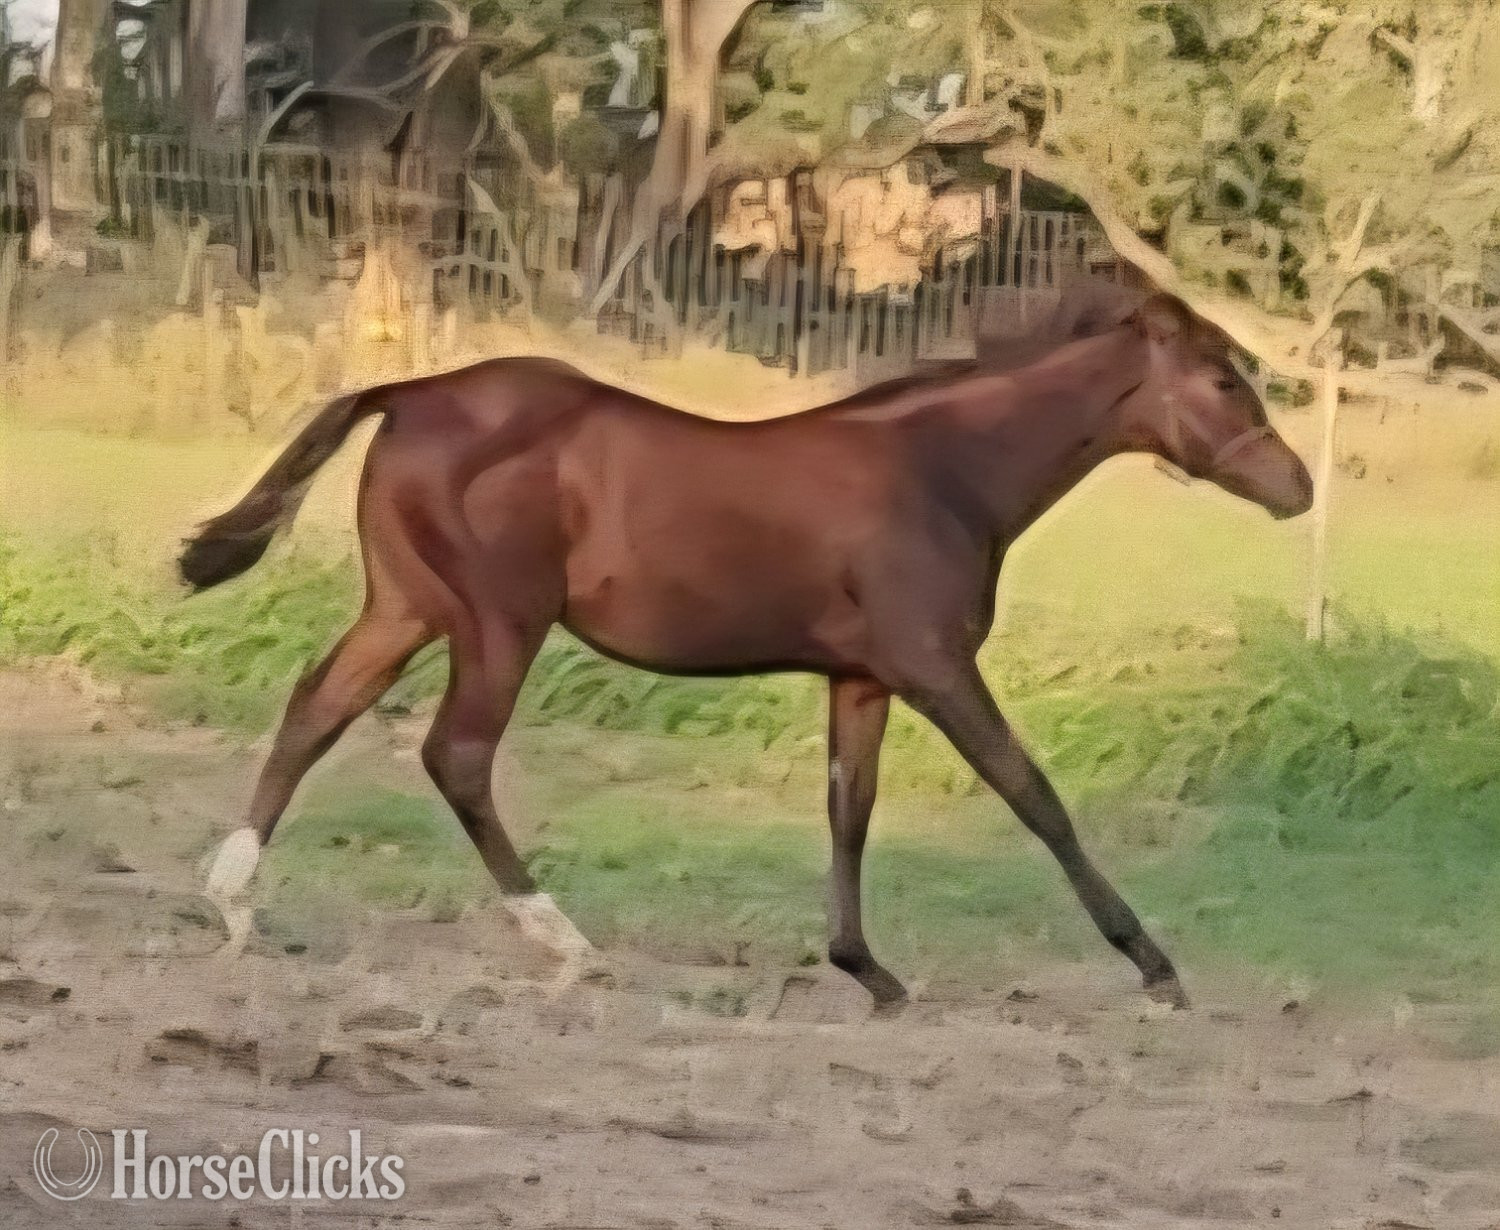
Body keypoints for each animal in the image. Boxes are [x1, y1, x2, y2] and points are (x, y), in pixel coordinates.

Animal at [184, 291, 1312, 1010]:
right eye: (1223, 380)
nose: (1298, 488)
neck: (942, 470)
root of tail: (412, 392)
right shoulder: (936, 668)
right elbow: (1033, 793)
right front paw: (1154, 966)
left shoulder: (862, 679)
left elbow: (850, 810)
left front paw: (868, 972)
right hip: (499, 620)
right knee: (455, 755)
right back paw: (566, 945)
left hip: (406, 608)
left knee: (317, 706)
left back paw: (233, 905)